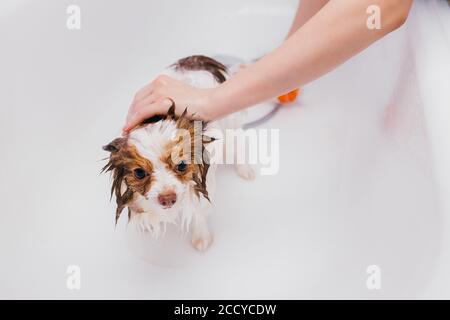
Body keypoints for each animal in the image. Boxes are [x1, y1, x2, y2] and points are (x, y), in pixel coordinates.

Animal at [103, 55, 255, 251]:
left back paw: (245, 170)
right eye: (139, 173)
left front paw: (201, 237)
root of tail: (205, 59)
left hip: (231, 127)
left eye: (182, 165)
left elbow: (199, 213)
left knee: (237, 147)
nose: (167, 199)